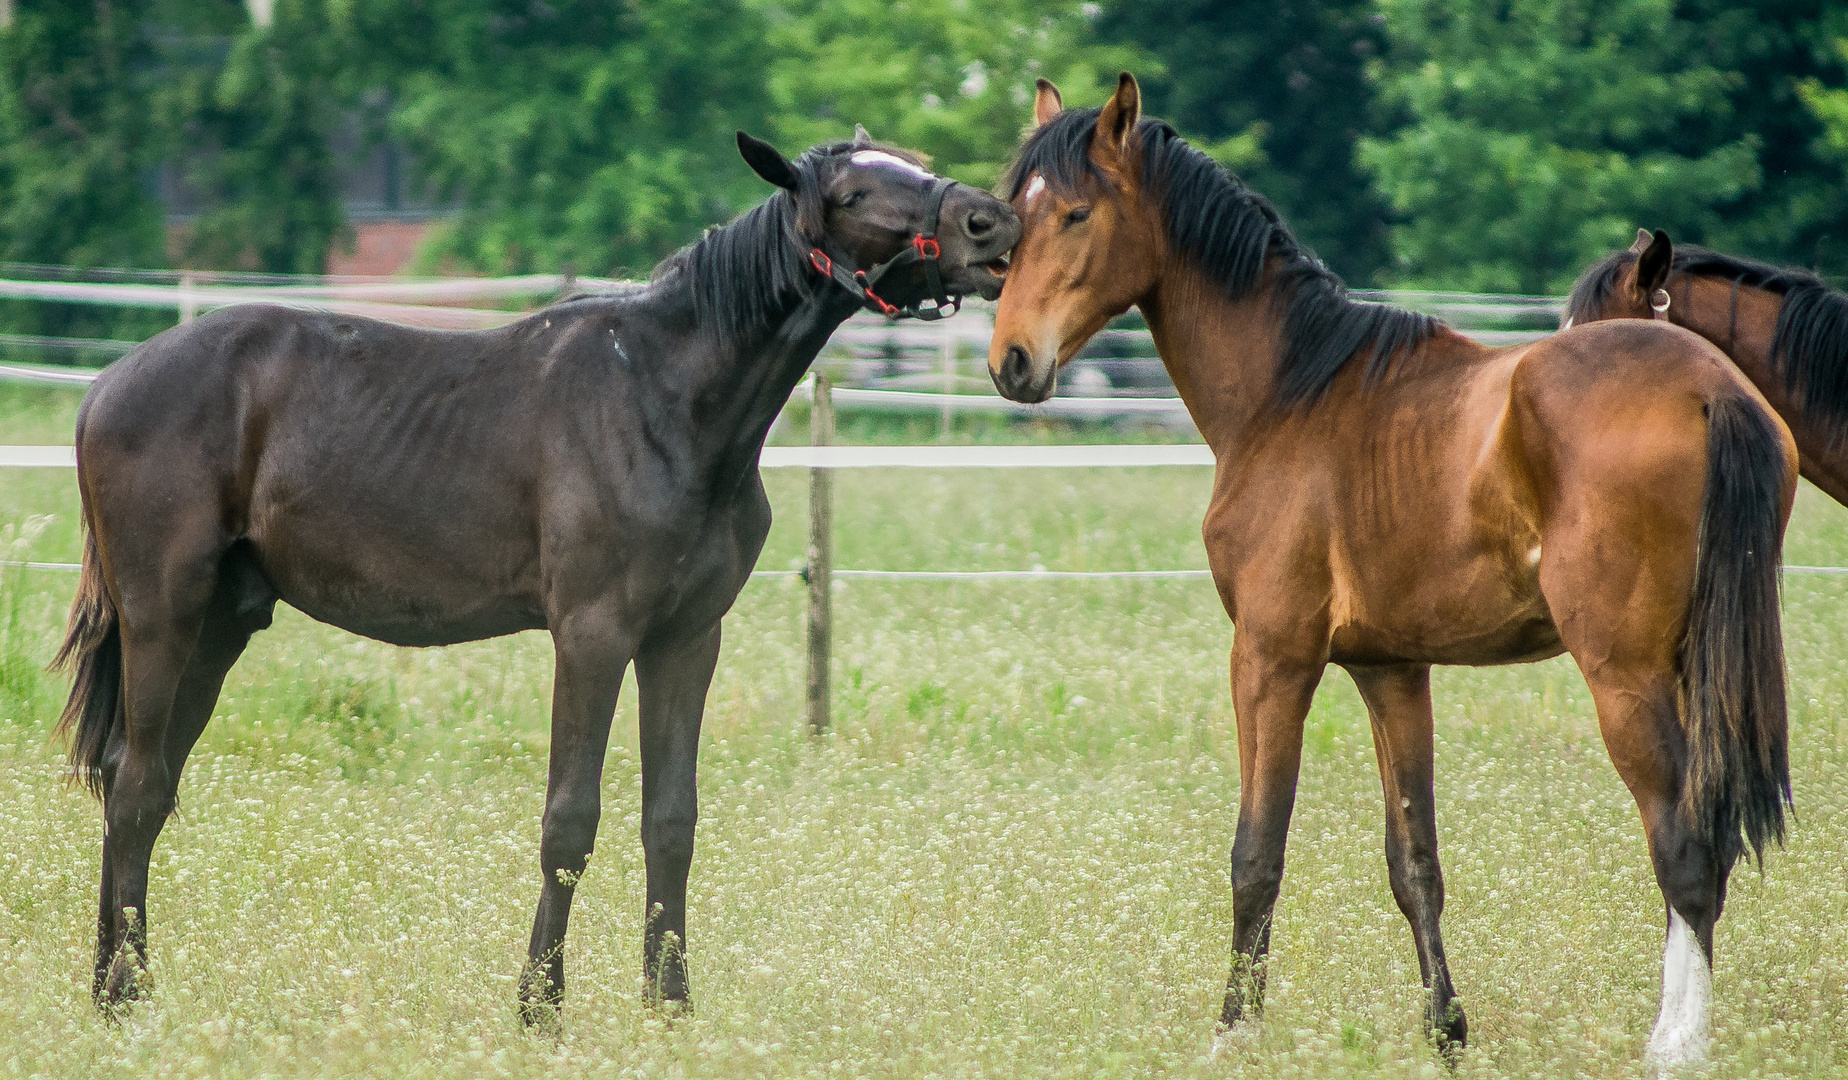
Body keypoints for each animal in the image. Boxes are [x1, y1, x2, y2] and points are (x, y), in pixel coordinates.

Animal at [54, 126, 1027, 1020]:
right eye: (856, 193)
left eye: (915, 165)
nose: (994, 223)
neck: (666, 399)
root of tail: (104, 389)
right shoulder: (592, 637)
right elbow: (570, 821)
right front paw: (541, 1006)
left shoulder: (685, 640)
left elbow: (671, 822)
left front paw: (670, 1005)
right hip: (164, 616)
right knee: (135, 790)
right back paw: (123, 997)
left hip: (222, 624)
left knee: (135, 779)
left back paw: (114, 984)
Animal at [990, 73, 1796, 1072]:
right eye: (1013, 220)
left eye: (1075, 213)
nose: (1012, 362)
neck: (1293, 394)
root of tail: (1709, 387)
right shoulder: (1392, 670)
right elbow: (1415, 864)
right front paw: (1446, 1033)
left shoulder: (1272, 659)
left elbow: (1256, 855)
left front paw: (1233, 1033)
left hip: (1627, 674)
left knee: (1683, 846)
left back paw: (1676, 1045)